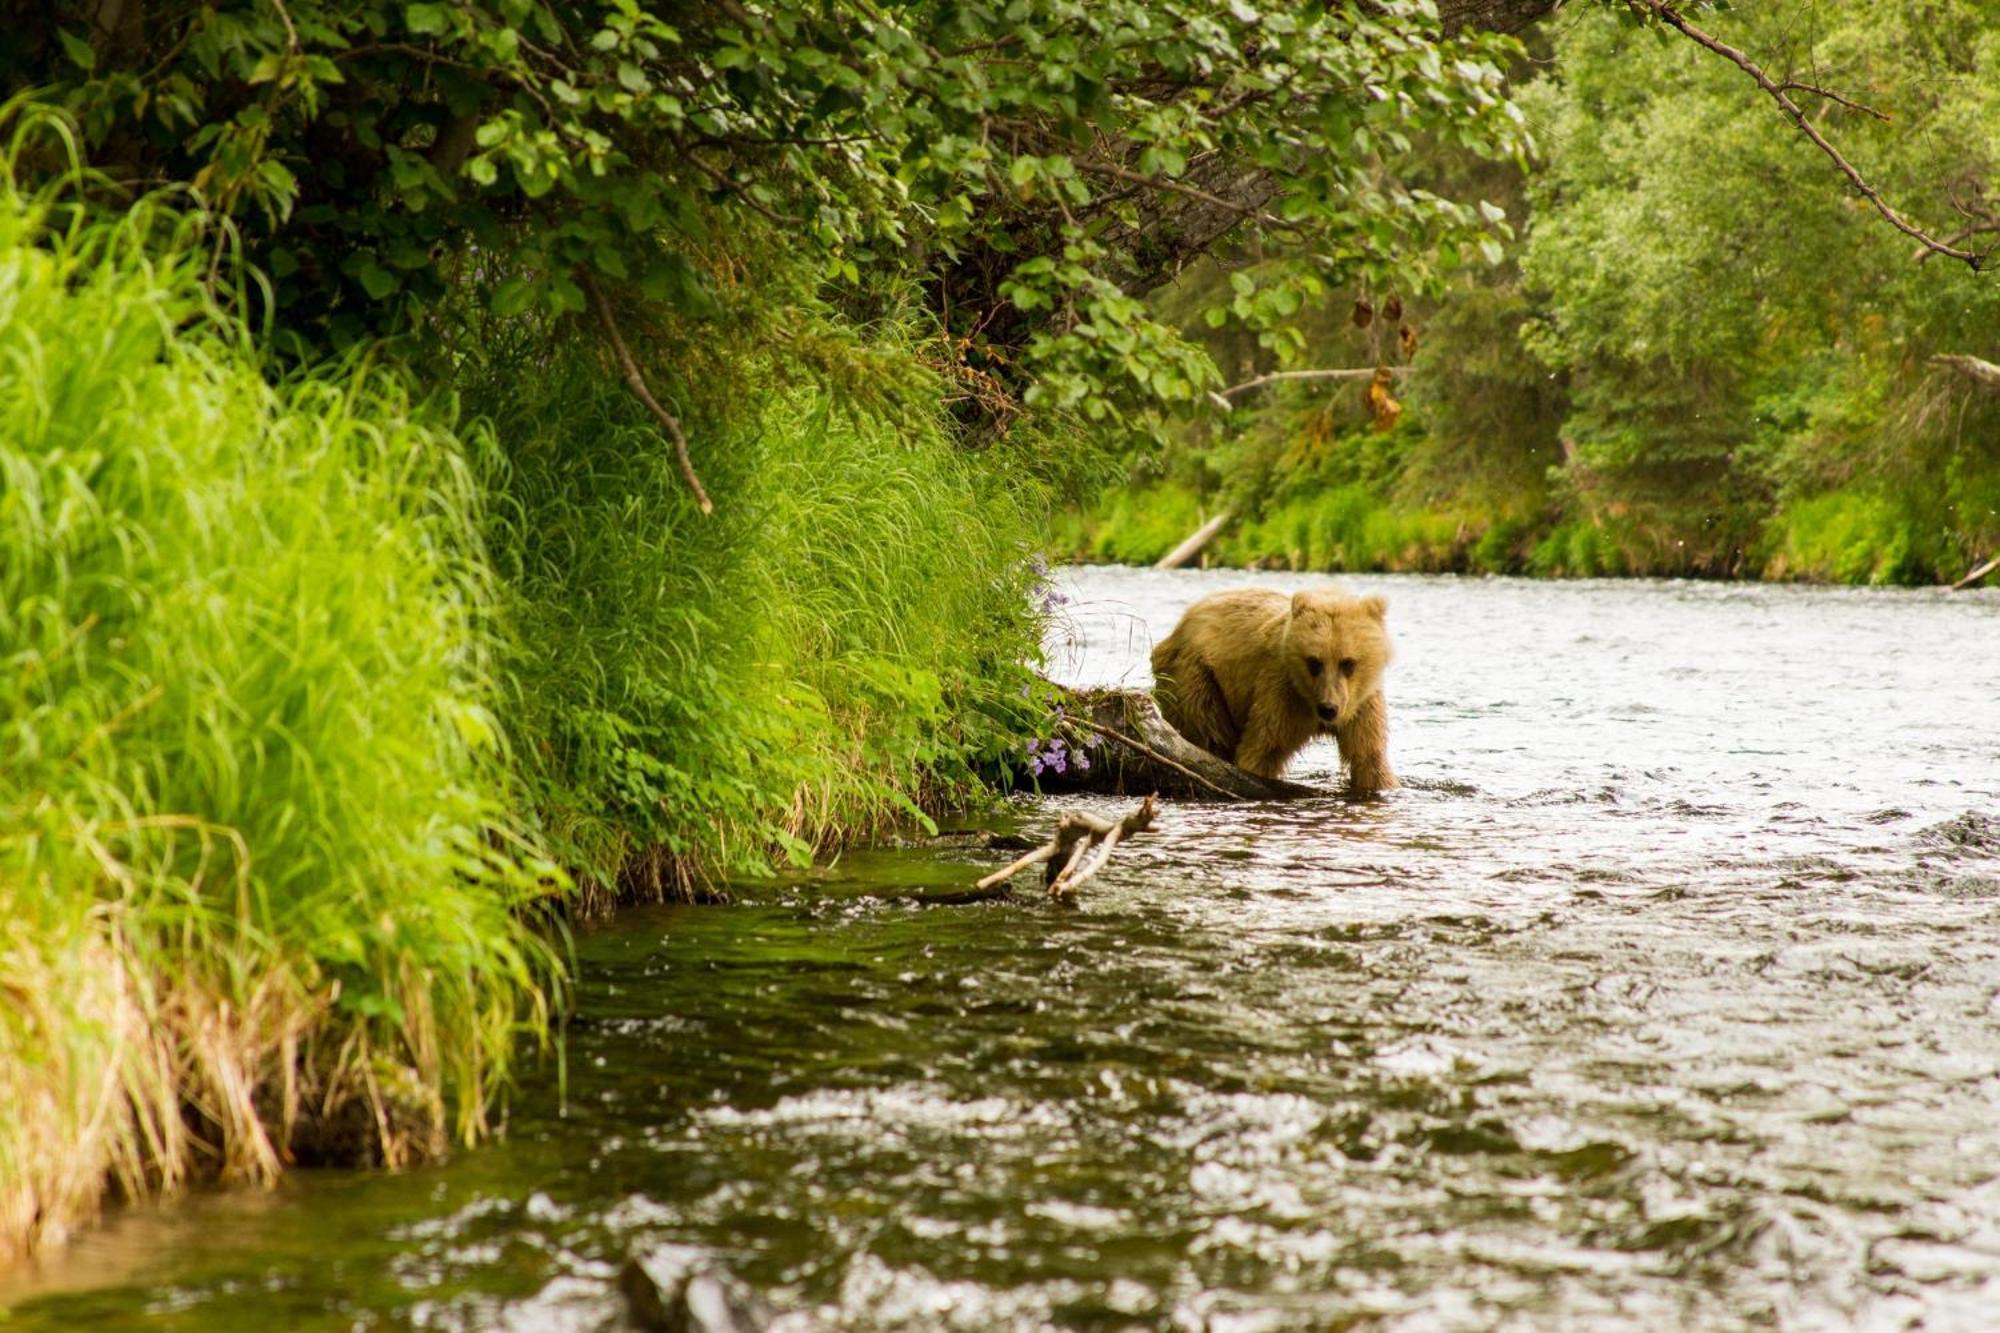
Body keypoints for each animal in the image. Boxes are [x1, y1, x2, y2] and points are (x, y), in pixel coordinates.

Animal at [1152, 580, 1400, 788]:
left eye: (1347, 662)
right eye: (1314, 662)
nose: (1328, 708)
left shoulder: (1361, 704)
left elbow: (1368, 757)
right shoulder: (1282, 694)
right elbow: (1263, 749)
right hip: (1196, 674)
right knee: (1208, 731)